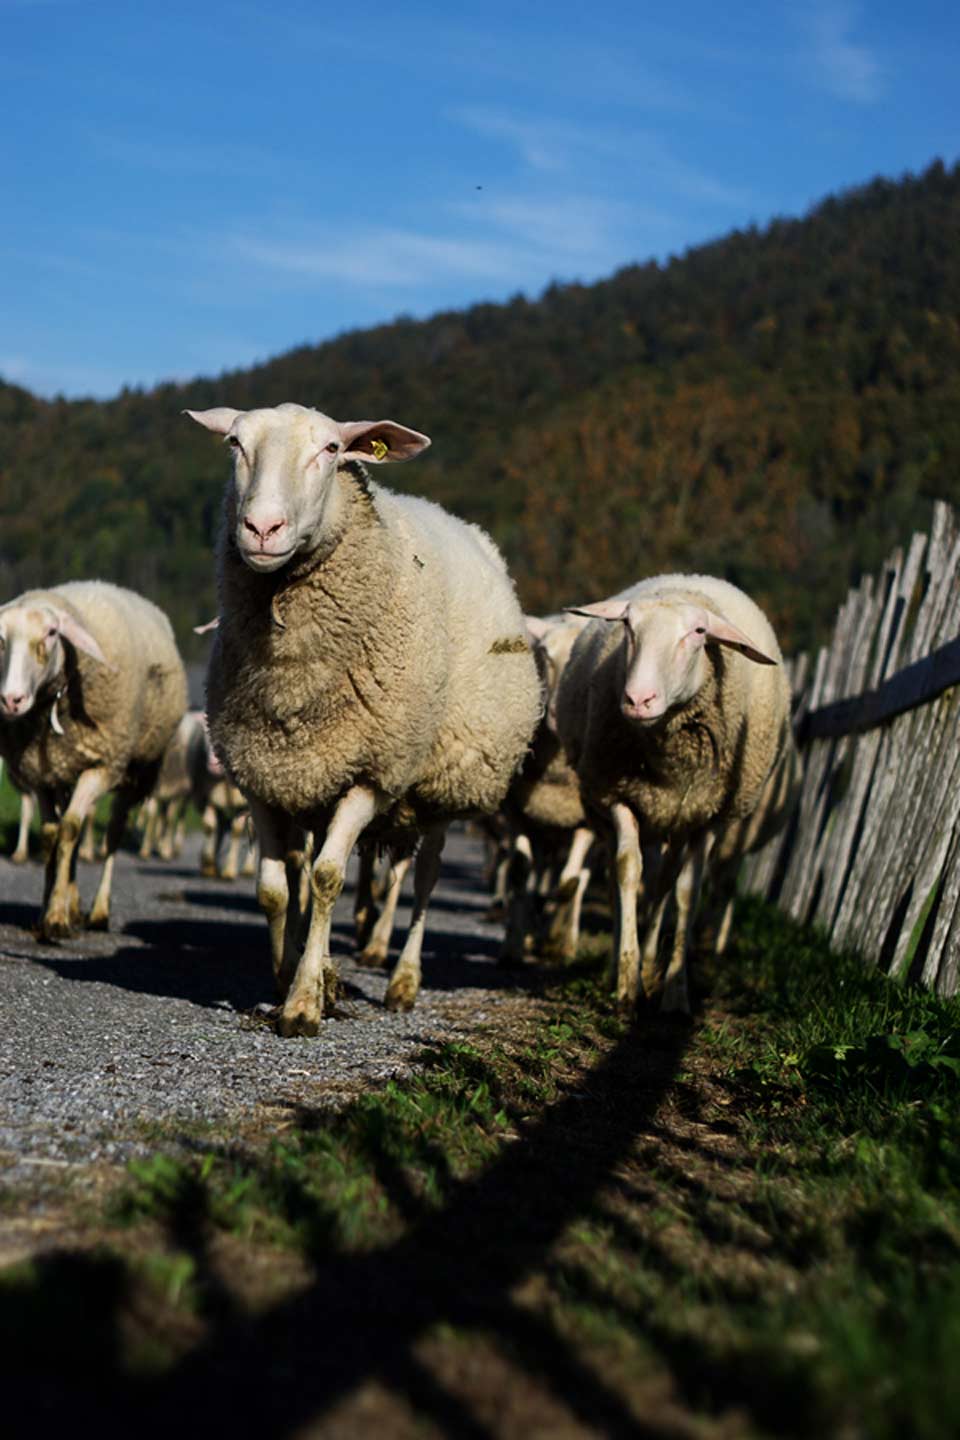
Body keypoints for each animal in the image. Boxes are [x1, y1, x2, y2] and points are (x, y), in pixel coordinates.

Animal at [0, 578, 188, 938]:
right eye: (1, 638)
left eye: (52, 633)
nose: (11, 700)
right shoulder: (41, 775)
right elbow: (52, 835)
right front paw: (50, 908)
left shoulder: (101, 766)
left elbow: (69, 830)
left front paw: (56, 919)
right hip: (66, 772)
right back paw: (73, 904)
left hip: (131, 774)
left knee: (111, 835)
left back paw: (99, 912)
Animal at [185, 403, 541, 1036]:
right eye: (234, 444)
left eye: (331, 449)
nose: (262, 529)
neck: (294, 678)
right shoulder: (263, 775)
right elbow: (275, 889)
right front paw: (289, 975)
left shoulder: (372, 772)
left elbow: (328, 878)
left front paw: (303, 1003)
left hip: (439, 784)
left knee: (423, 879)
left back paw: (403, 982)